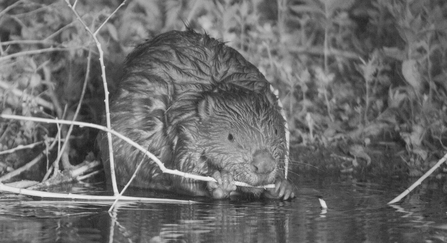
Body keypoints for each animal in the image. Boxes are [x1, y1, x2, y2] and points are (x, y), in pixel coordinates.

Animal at [96, 29, 296, 199]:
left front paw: (282, 186)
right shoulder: (185, 127)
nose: (264, 165)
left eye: (276, 132)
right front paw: (222, 182)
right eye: (230, 137)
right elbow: (184, 169)